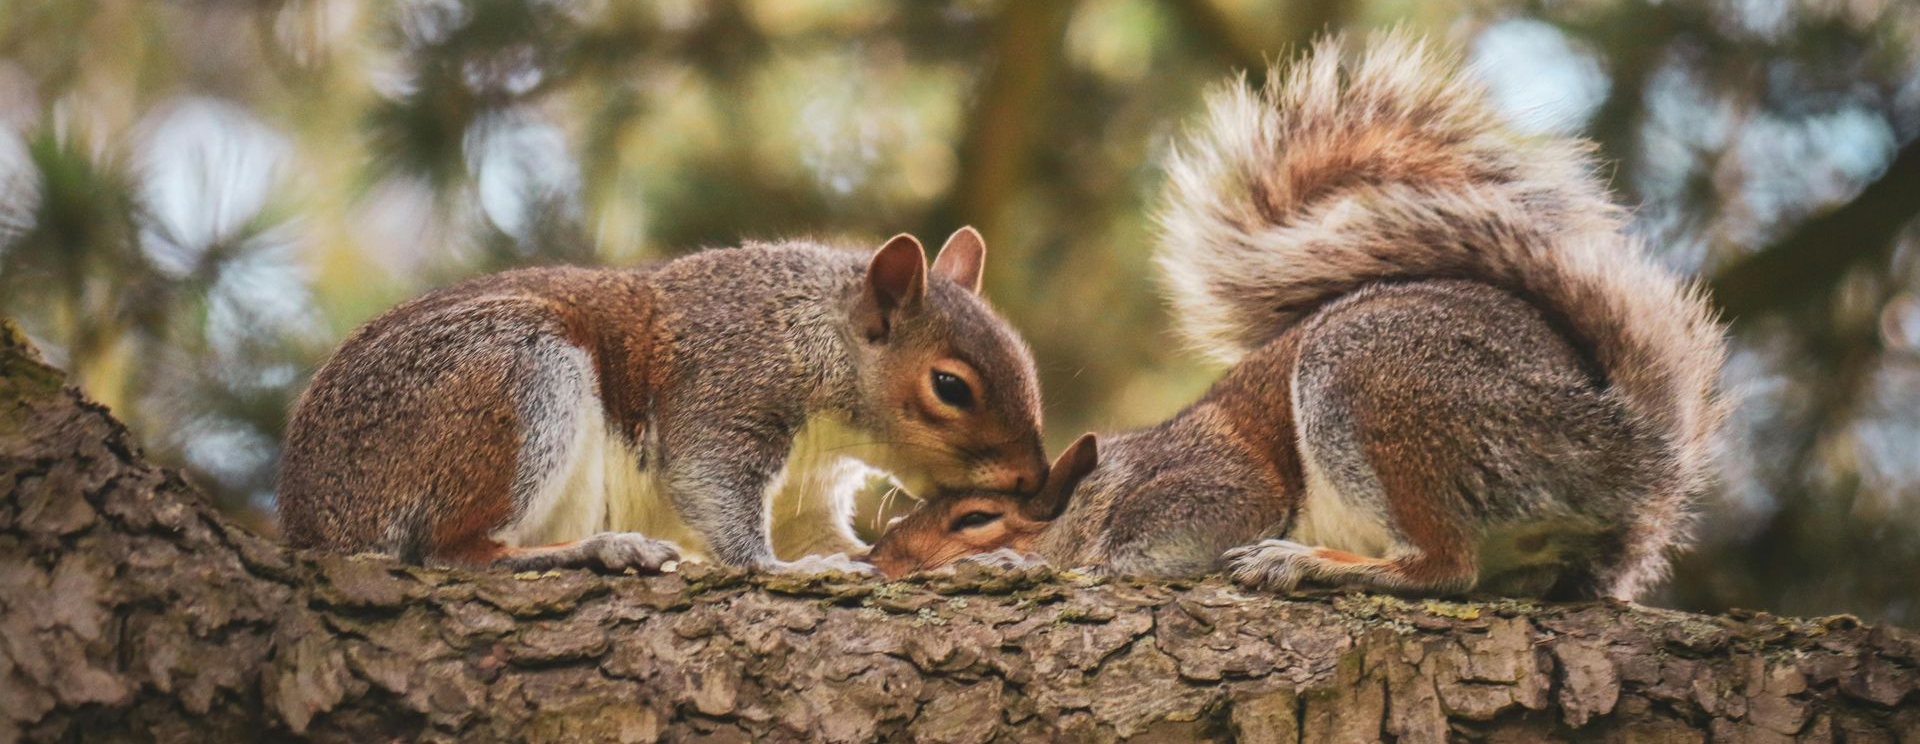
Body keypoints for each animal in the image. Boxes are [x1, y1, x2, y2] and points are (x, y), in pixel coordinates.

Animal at [278, 228, 1049, 574]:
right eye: (950, 386)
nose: (1035, 482)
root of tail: (312, 518)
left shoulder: (807, 490)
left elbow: (844, 542)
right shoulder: (726, 388)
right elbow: (710, 485)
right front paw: (782, 568)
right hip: (516, 375)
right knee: (453, 551)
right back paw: (599, 547)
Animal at [864, 35, 1728, 600]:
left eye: (976, 517)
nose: (880, 562)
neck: (1104, 484)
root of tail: (1626, 448)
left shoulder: (1213, 486)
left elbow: (1139, 550)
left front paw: (1016, 565)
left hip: (1378, 390)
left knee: (1444, 566)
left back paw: (1305, 562)